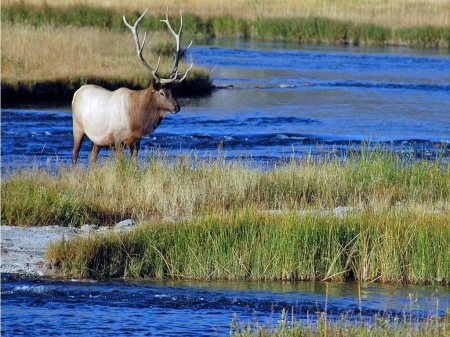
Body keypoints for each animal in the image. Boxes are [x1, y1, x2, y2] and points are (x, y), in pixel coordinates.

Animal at [71, 7, 192, 164]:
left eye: (173, 92)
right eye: (162, 93)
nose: (177, 107)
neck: (136, 119)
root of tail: (76, 92)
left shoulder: (136, 140)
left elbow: (134, 163)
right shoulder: (117, 138)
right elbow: (120, 162)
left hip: (97, 138)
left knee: (92, 156)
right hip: (77, 127)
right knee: (74, 155)